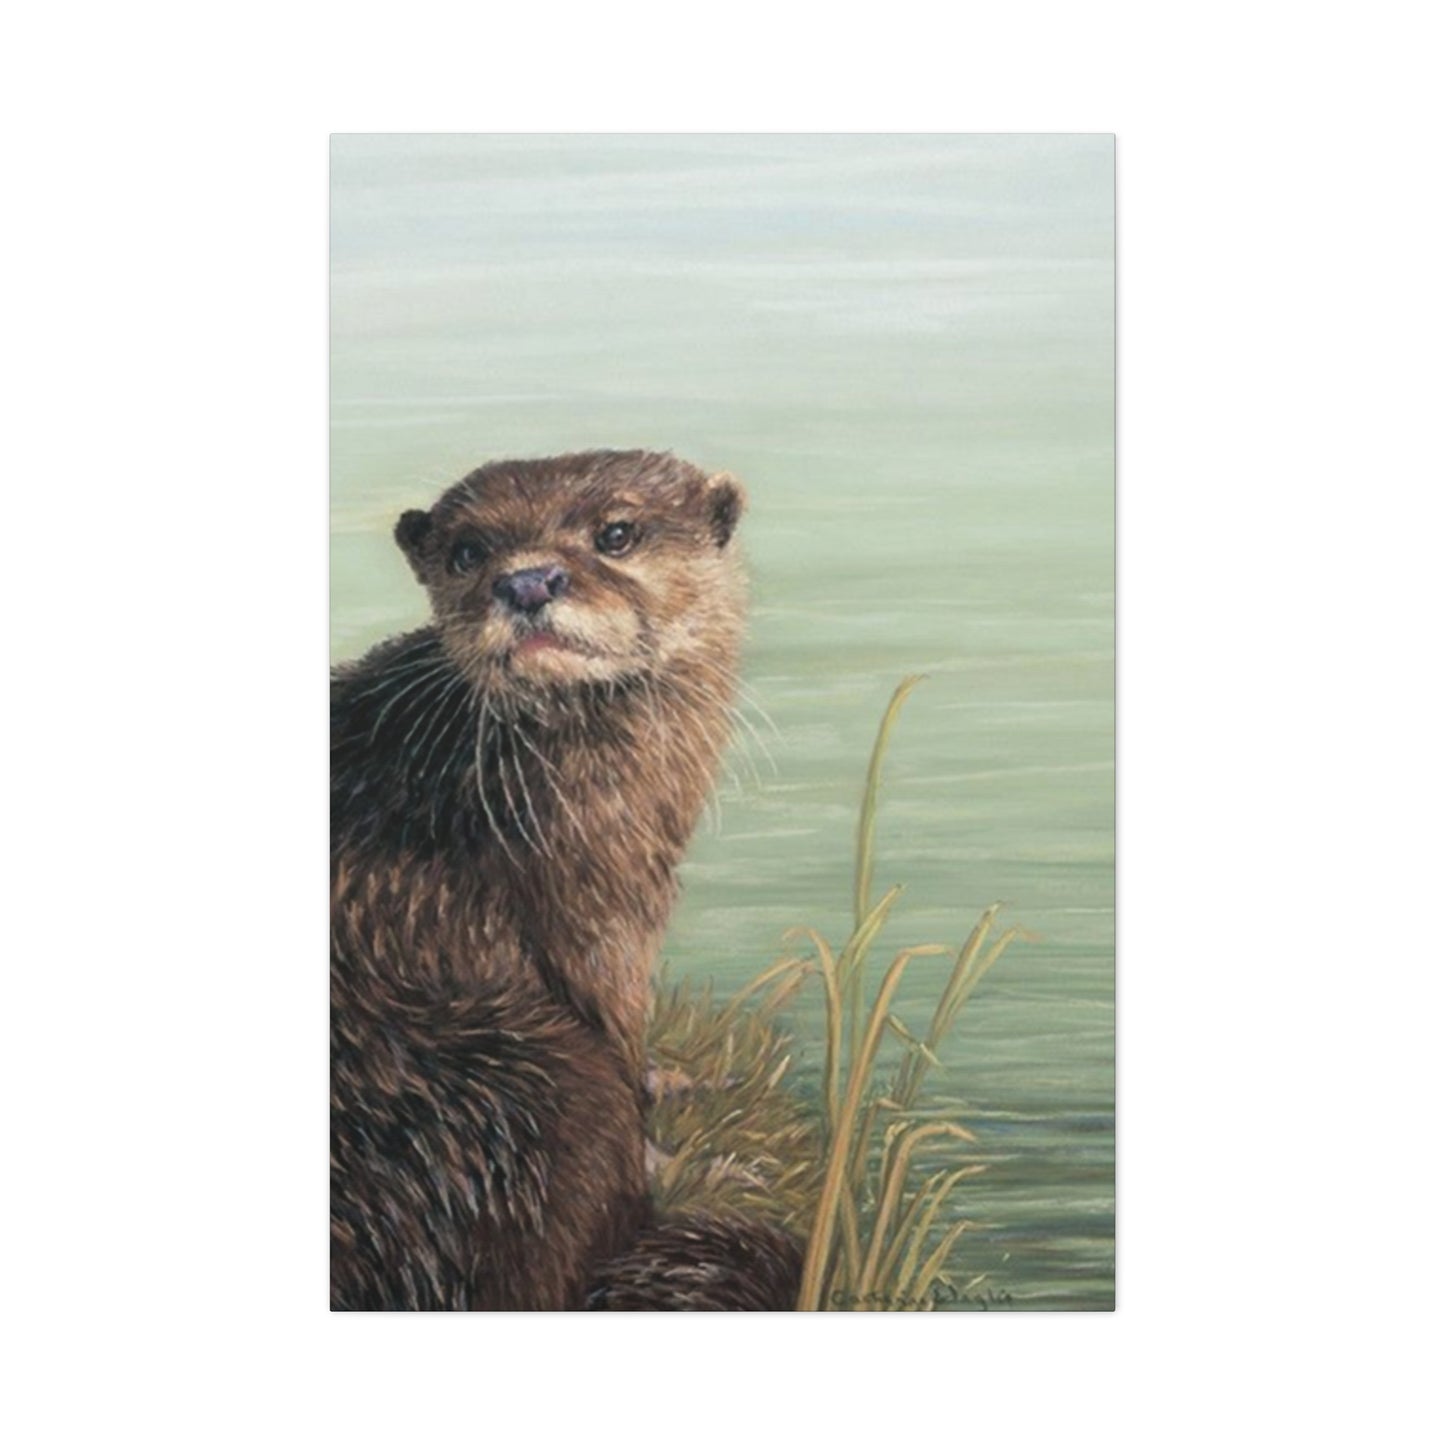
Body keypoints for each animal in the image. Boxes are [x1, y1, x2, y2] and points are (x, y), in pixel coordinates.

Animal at [331, 449, 801, 1310]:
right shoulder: (592, 903)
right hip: (544, 1086)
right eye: (467, 551)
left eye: (615, 533)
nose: (526, 582)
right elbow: (610, 1017)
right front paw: (664, 1139)